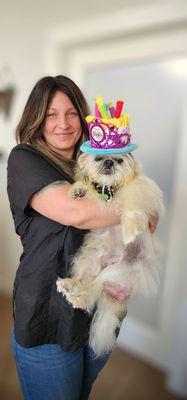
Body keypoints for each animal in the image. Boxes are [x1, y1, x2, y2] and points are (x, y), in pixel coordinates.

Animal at [56, 152, 164, 356]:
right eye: (98, 158)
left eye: (120, 160)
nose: (109, 161)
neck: (109, 190)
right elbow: (87, 185)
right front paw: (78, 190)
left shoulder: (140, 190)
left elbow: (131, 208)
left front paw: (129, 231)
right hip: (88, 258)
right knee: (86, 282)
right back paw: (70, 286)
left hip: (119, 270)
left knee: (93, 288)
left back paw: (77, 296)